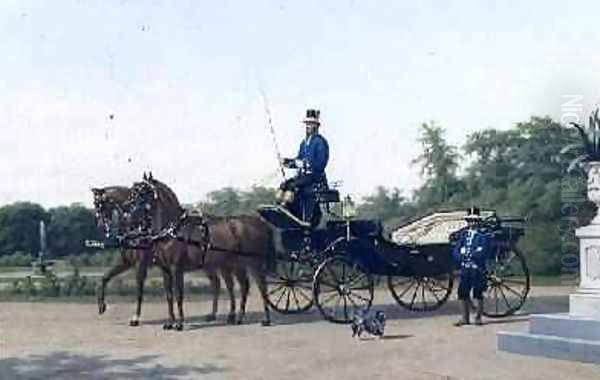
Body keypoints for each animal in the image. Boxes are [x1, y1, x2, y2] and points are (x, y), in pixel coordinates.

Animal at [129, 176, 274, 330]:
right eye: (134, 192)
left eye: (143, 192)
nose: (129, 216)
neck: (172, 230)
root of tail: (260, 222)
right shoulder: (165, 270)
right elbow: (169, 295)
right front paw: (169, 323)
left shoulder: (176, 268)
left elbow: (179, 294)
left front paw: (179, 324)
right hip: (234, 265)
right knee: (242, 286)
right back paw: (237, 318)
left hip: (253, 263)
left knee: (261, 287)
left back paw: (266, 319)